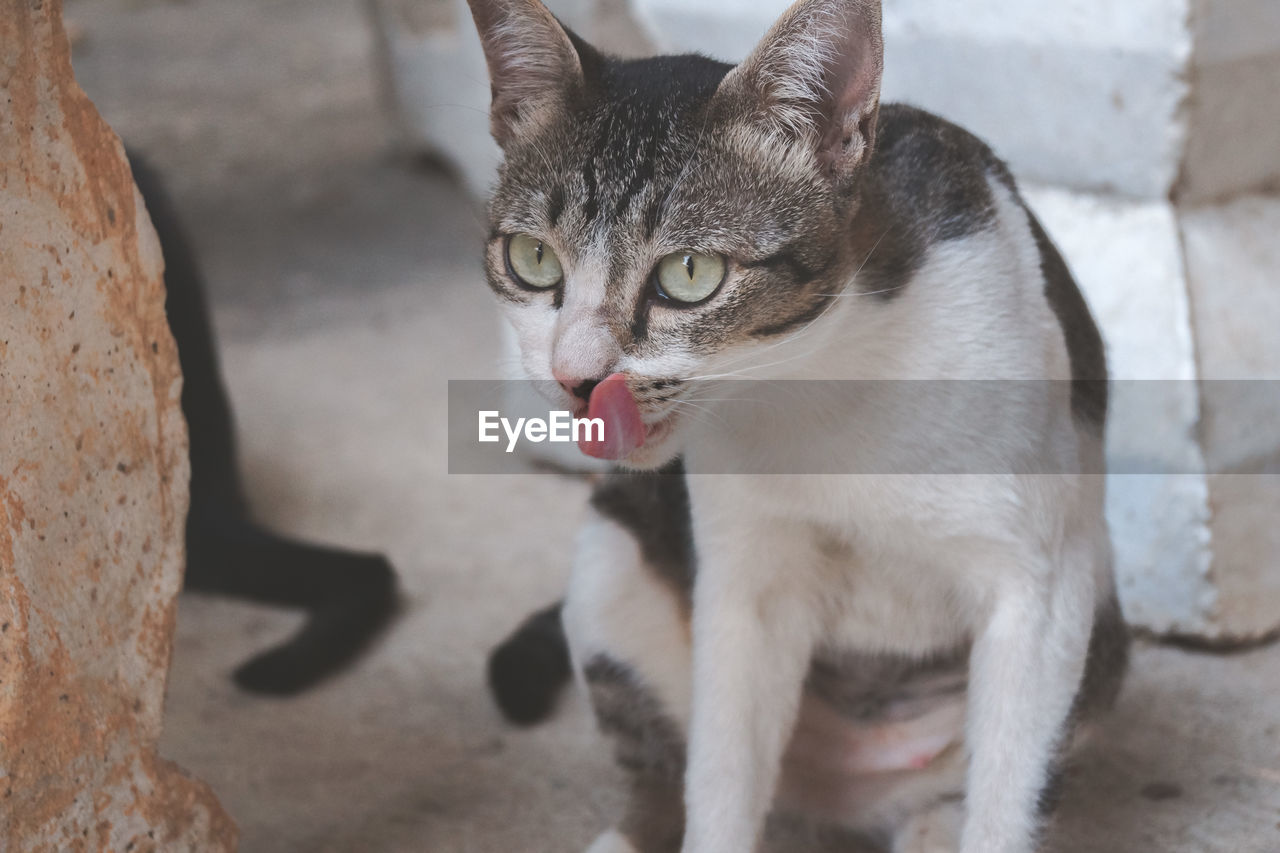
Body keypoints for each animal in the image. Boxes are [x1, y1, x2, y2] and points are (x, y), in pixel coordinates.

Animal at [465, 1, 1126, 850]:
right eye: (533, 259)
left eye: (689, 273)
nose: (577, 376)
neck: (821, 382)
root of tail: (832, 803)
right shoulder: (743, 581)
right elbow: (720, 778)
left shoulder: (1041, 584)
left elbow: (1010, 795)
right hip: (612, 564)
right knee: (666, 760)